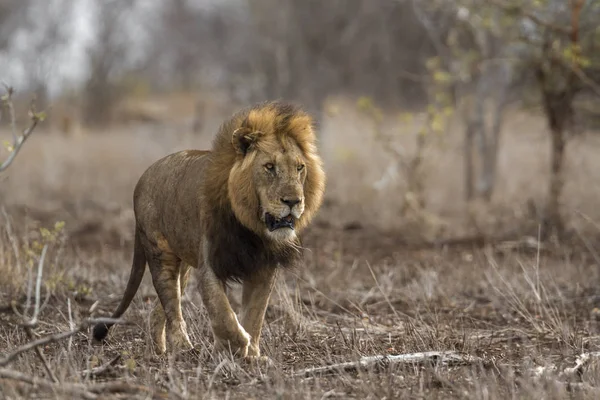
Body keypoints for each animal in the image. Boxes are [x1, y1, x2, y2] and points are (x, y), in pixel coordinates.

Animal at [92, 100, 326, 360]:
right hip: (161, 255)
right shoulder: (211, 264)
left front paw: (253, 356)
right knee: (171, 306)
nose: (294, 201)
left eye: (300, 168)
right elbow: (222, 311)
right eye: (269, 167)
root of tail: (142, 178)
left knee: (159, 310)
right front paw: (235, 345)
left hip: (184, 265)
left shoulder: (263, 267)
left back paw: (159, 351)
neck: (251, 227)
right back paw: (184, 348)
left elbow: (255, 314)